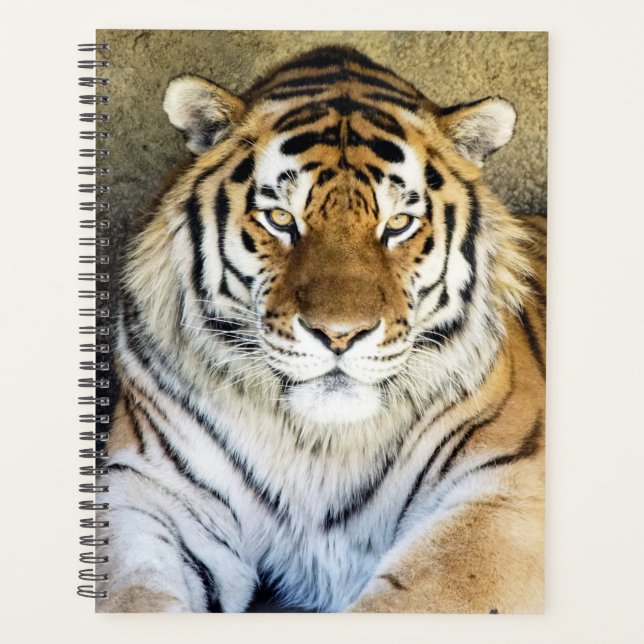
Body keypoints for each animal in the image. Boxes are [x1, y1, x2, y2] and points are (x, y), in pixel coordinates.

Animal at [97, 46, 546, 613]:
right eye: (280, 218)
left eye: (397, 225)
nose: (339, 335)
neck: (319, 444)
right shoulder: (148, 489)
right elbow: (133, 595)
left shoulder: (506, 489)